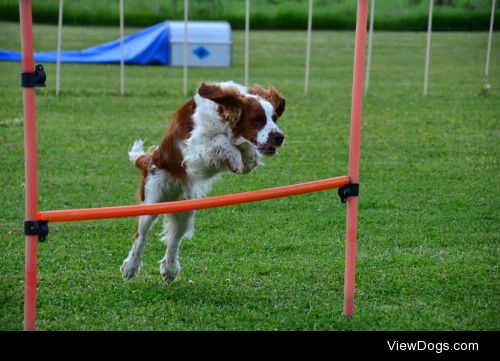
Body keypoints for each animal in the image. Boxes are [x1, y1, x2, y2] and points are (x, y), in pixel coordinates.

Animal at [120, 81, 286, 282]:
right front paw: (234, 156)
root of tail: (149, 159)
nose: (279, 137)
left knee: (174, 240)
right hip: (153, 199)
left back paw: (170, 269)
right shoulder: (193, 153)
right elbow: (220, 140)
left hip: (184, 208)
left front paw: (246, 157)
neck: (222, 117)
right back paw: (130, 267)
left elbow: (247, 156)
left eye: (274, 118)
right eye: (257, 119)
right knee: (141, 236)